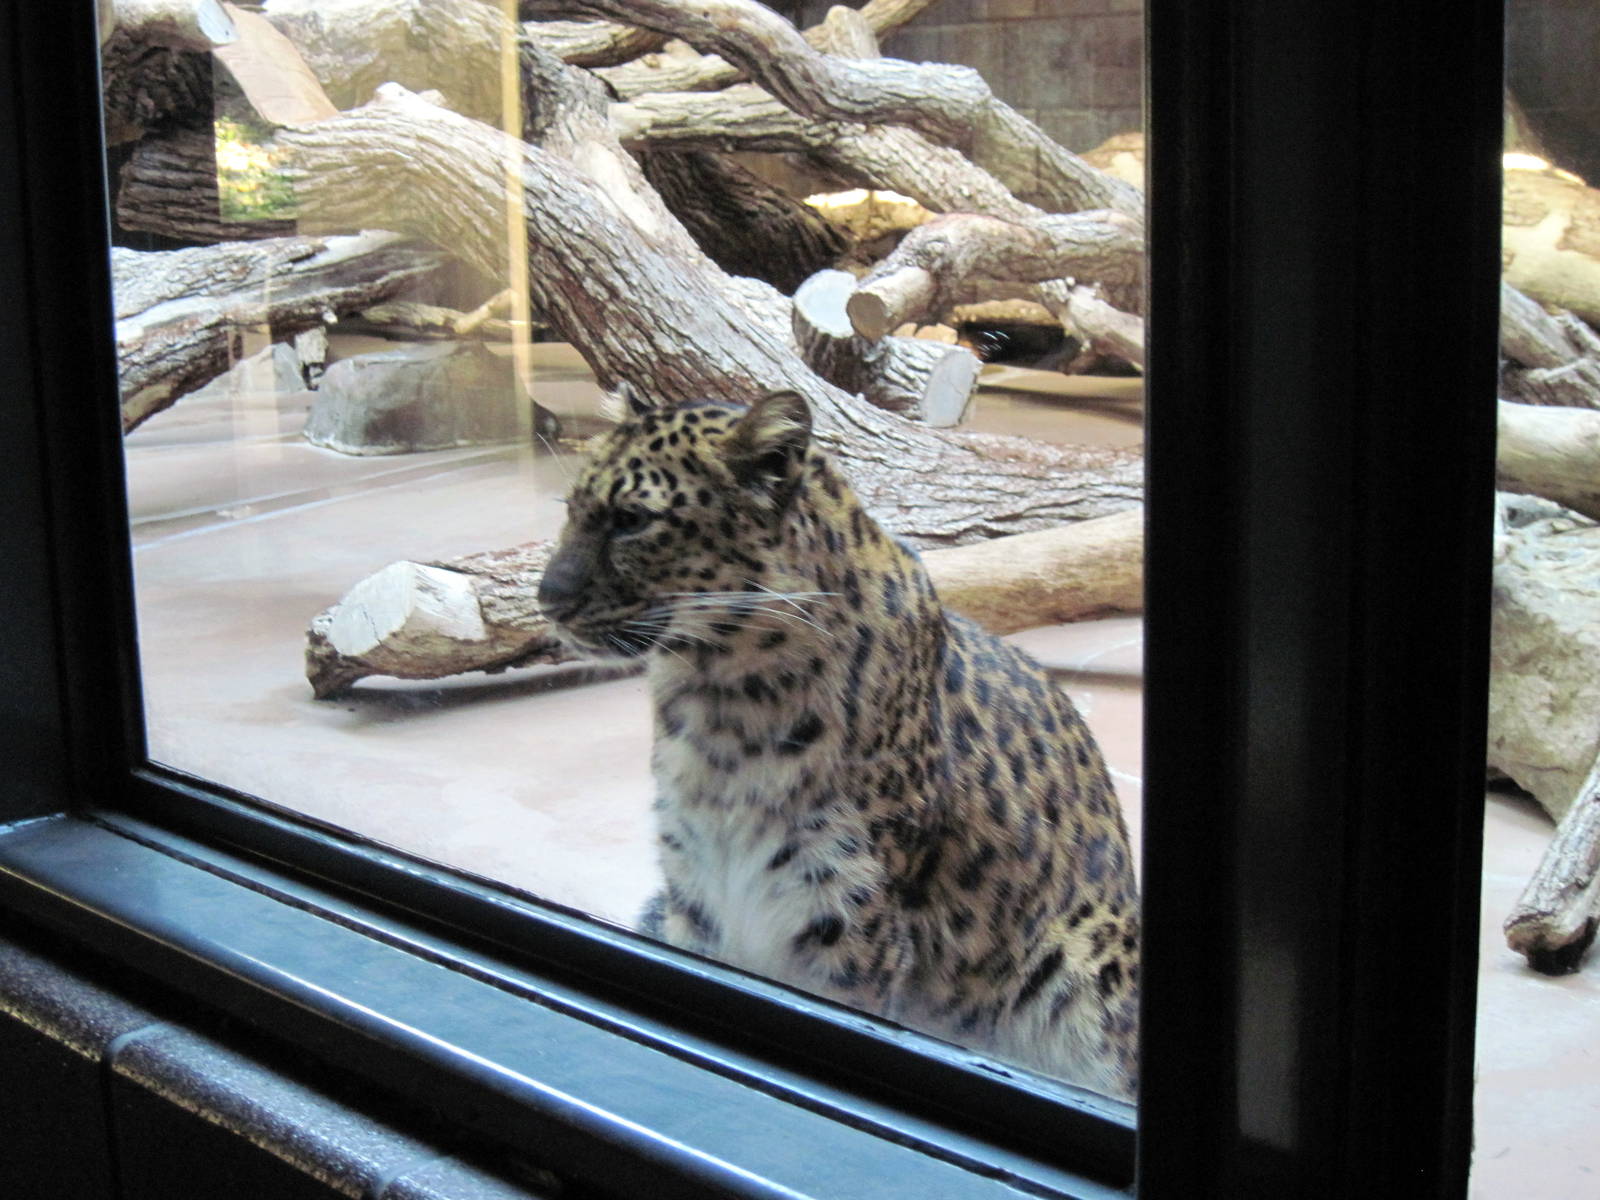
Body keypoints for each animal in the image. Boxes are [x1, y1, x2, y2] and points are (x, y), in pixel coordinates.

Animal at [537, 386, 1140, 1099]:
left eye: (631, 520)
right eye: (571, 511)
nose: (546, 600)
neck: (721, 701)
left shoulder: (848, 909)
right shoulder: (696, 883)